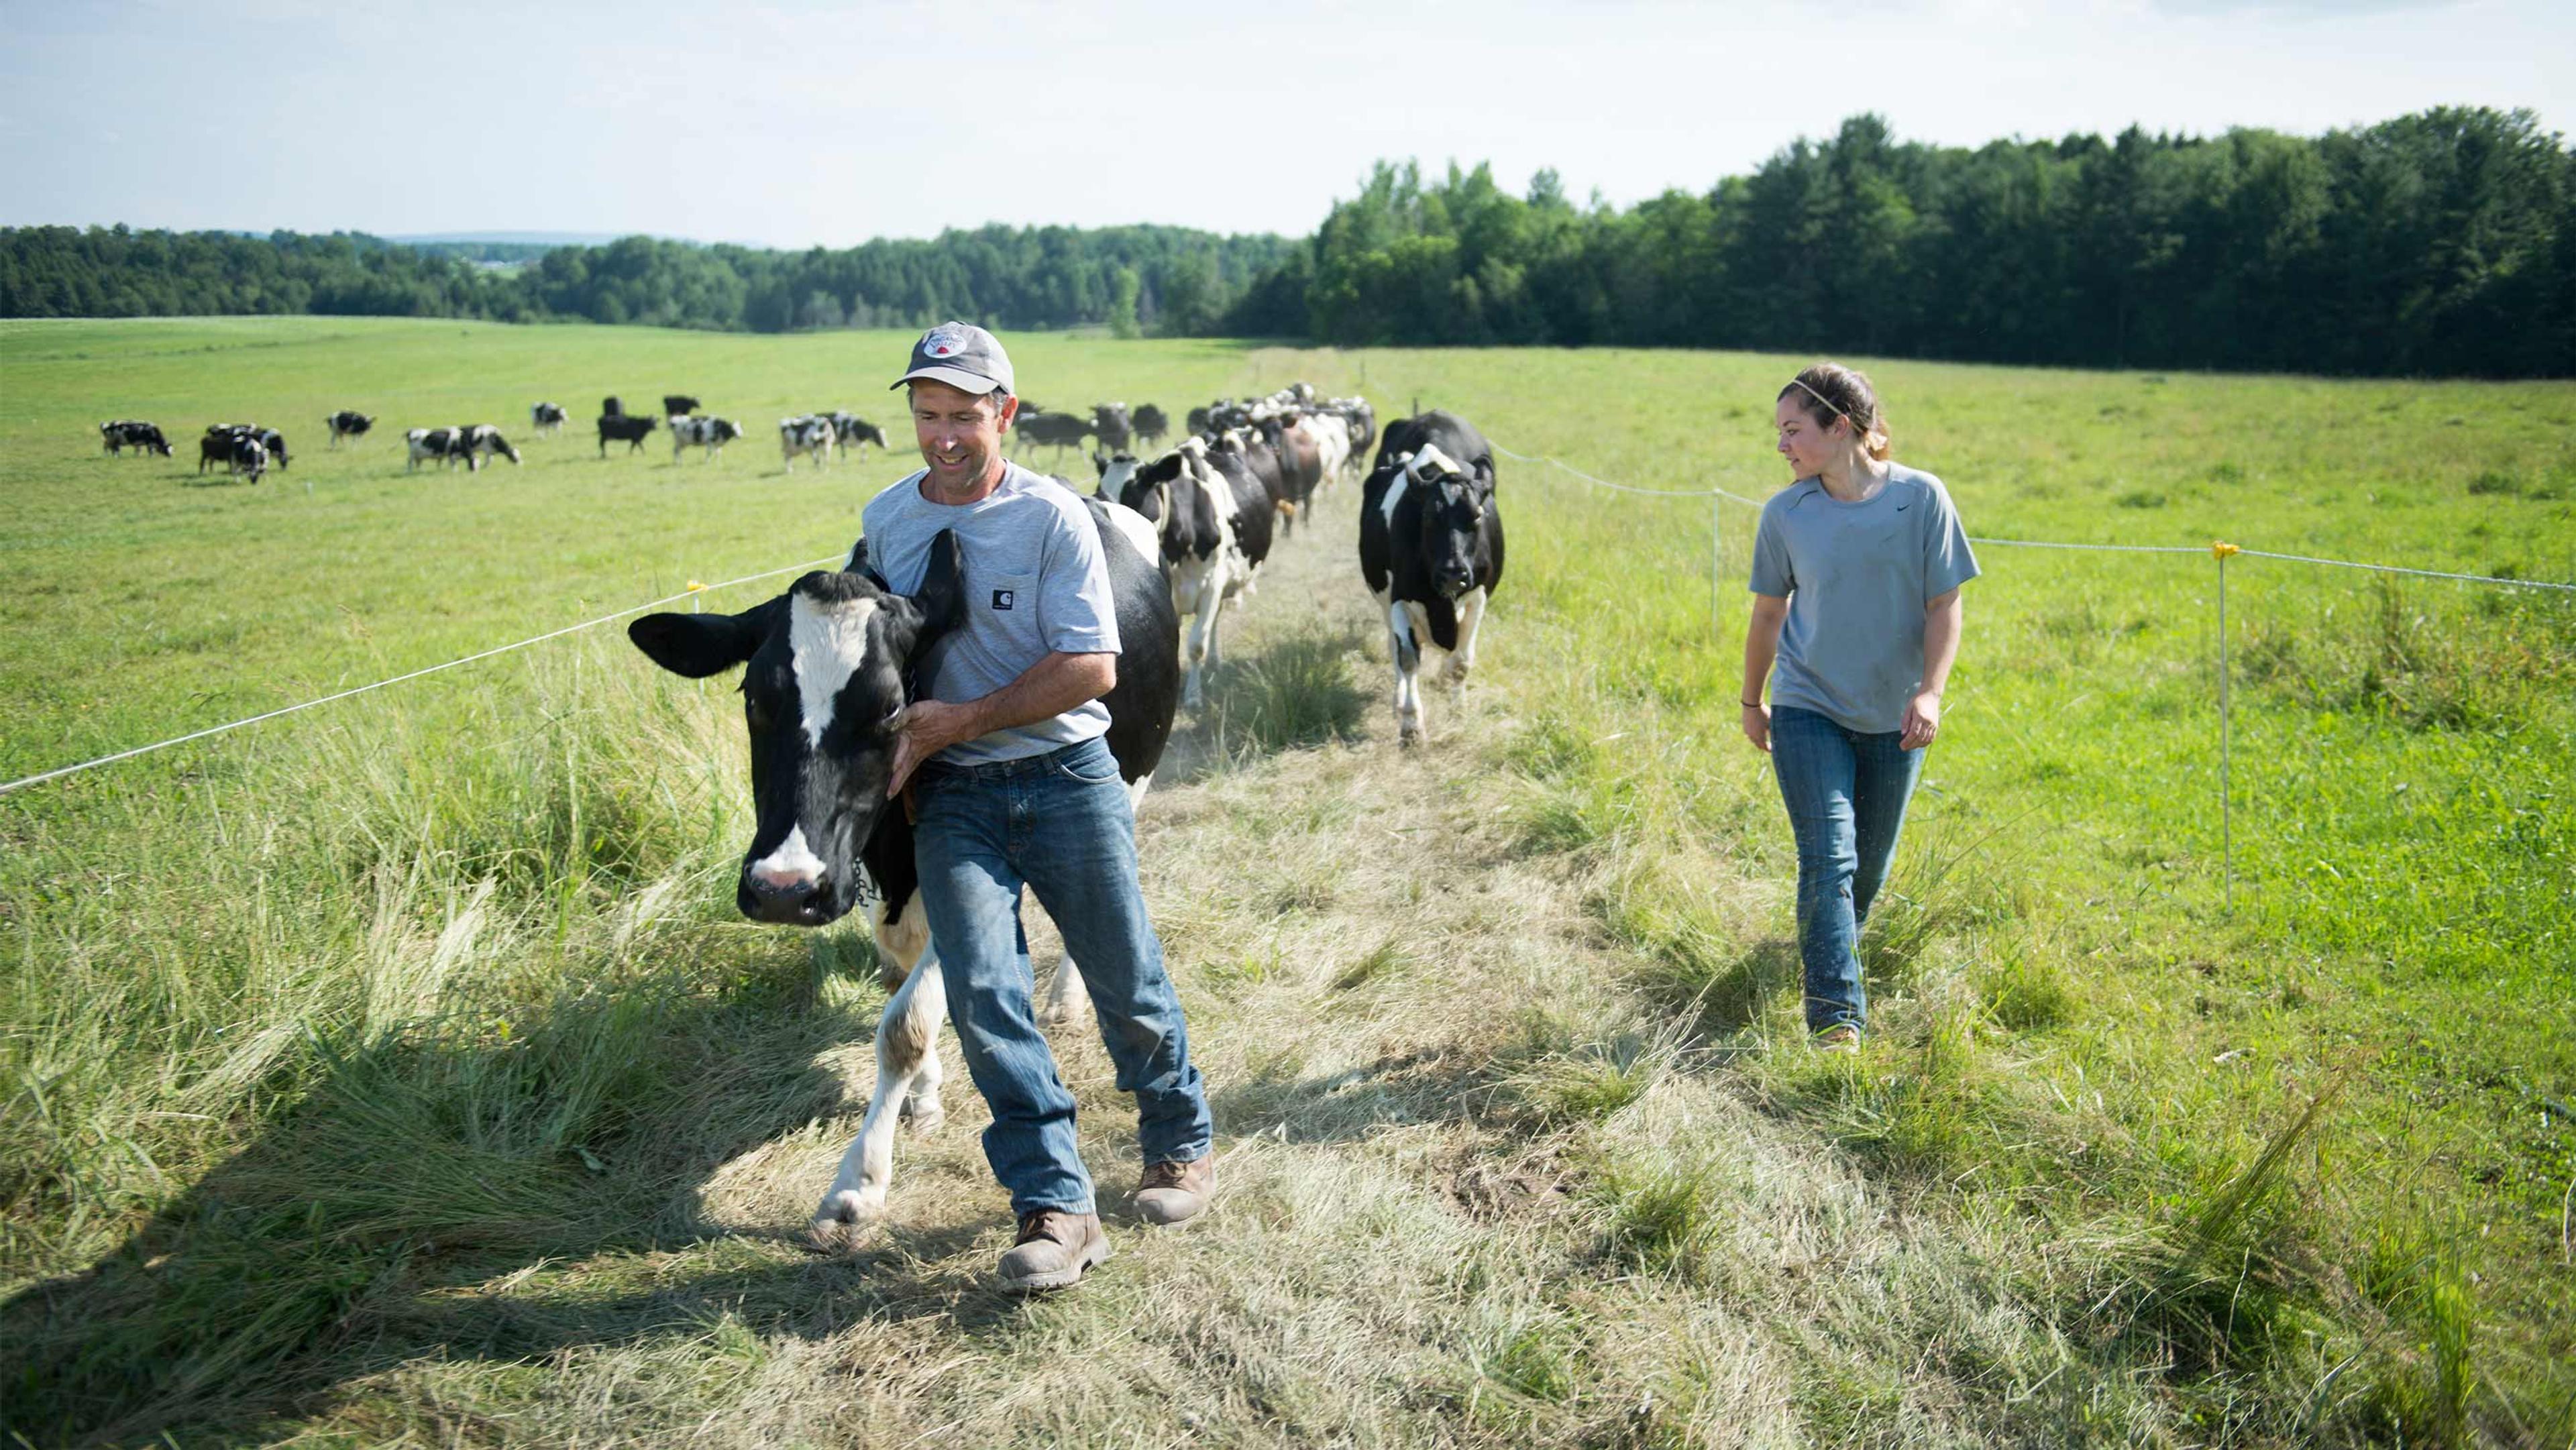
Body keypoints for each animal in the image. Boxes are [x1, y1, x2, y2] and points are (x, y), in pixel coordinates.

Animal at [623, 510, 1185, 1236]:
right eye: (753, 697)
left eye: (889, 709)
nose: (785, 890)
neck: (892, 853)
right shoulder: (866, 885)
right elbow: (898, 987)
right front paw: (924, 1099)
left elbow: (904, 1027)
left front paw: (857, 1183)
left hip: (1128, 785)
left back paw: (1066, 999)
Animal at [1360, 412, 1504, 741]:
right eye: (1427, 516)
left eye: (1477, 515)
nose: (1453, 573)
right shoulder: (1400, 598)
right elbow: (1407, 656)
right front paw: (1411, 725)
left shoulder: (1478, 595)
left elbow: (1461, 663)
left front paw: (1458, 710)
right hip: (1384, 599)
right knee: (1394, 647)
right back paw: (1398, 700)